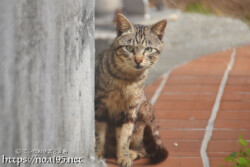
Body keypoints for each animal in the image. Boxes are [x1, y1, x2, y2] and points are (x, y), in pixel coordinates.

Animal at [94, 13, 169, 166]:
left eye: (148, 49)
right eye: (129, 48)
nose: (138, 60)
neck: (127, 80)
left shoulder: (129, 110)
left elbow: (124, 137)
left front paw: (124, 157)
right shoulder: (100, 106)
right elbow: (99, 135)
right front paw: (98, 154)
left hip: (143, 120)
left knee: (145, 150)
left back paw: (131, 153)